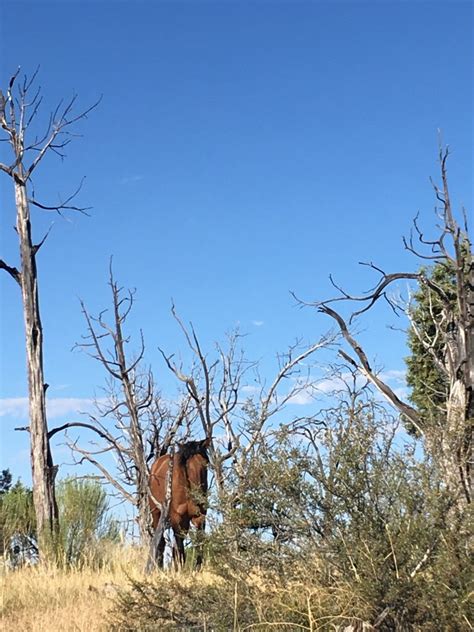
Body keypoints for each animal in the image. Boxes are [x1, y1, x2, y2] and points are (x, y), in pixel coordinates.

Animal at [148, 440, 207, 568]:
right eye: (186, 466)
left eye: (205, 464)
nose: (198, 496)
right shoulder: (176, 518)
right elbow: (180, 547)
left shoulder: (199, 517)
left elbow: (199, 542)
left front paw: (197, 568)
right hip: (157, 514)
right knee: (161, 542)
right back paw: (159, 567)